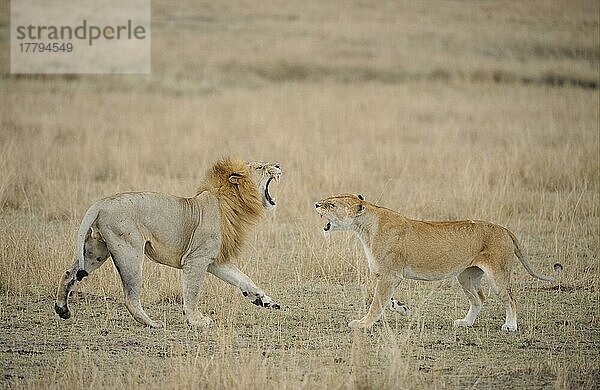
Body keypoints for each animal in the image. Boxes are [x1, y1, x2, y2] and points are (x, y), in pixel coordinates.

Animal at [56, 157, 282, 328]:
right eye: (260, 167)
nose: (278, 164)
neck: (232, 202)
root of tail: (100, 204)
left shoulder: (215, 260)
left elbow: (243, 278)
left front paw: (264, 300)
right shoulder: (196, 259)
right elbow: (192, 291)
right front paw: (196, 320)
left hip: (95, 251)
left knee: (69, 274)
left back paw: (62, 309)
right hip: (129, 250)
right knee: (130, 297)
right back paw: (153, 324)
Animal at [314, 195, 564, 332]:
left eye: (331, 205)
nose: (316, 204)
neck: (364, 227)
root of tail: (504, 229)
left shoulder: (390, 275)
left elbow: (375, 302)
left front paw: (363, 324)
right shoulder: (385, 275)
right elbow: (379, 298)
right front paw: (401, 308)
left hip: (498, 274)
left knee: (511, 299)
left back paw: (510, 326)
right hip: (466, 275)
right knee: (479, 298)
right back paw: (465, 322)